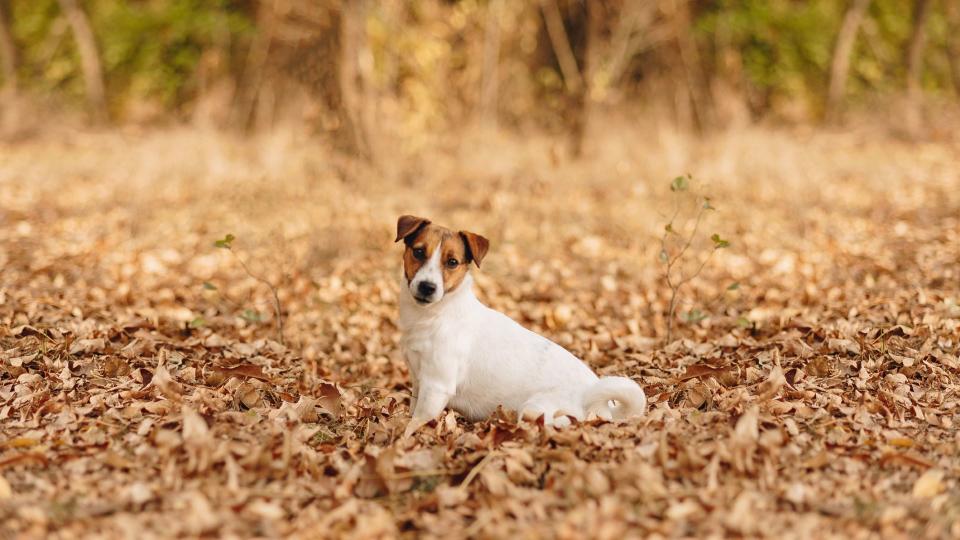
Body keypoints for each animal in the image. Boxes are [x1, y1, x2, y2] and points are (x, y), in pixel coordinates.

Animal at [394, 213, 648, 436]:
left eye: (452, 262)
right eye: (418, 252)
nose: (427, 287)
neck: (436, 314)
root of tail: (596, 400)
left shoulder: (436, 387)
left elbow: (414, 424)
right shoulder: (419, 381)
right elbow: (412, 411)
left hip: (535, 409)